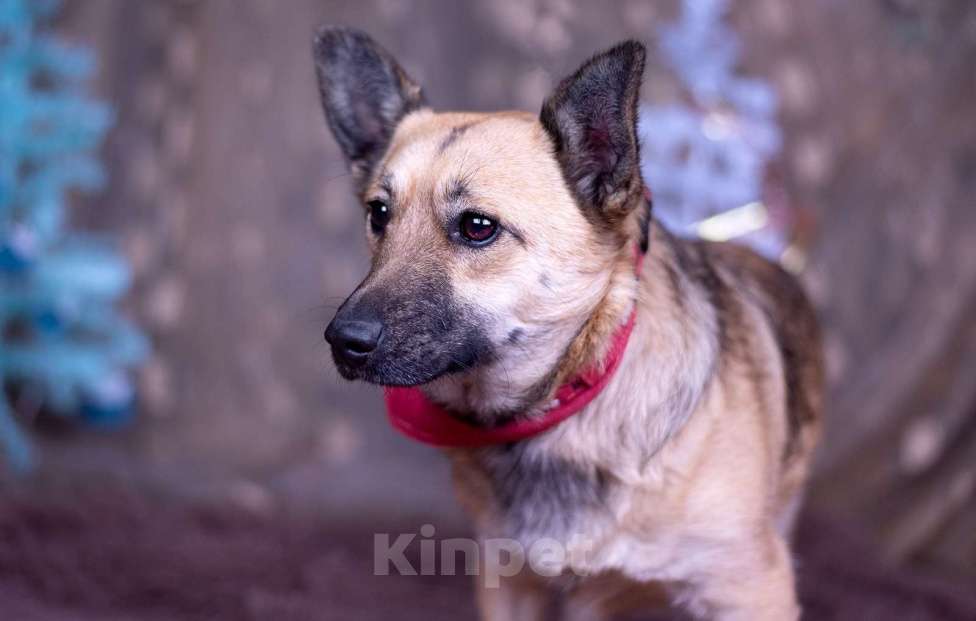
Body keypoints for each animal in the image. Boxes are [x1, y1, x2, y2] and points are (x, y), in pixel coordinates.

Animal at [316, 25, 820, 620]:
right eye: (379, 215)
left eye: (478, 226)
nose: (342, 341)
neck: (570, 396)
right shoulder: (508, 581)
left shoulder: (749, 589)